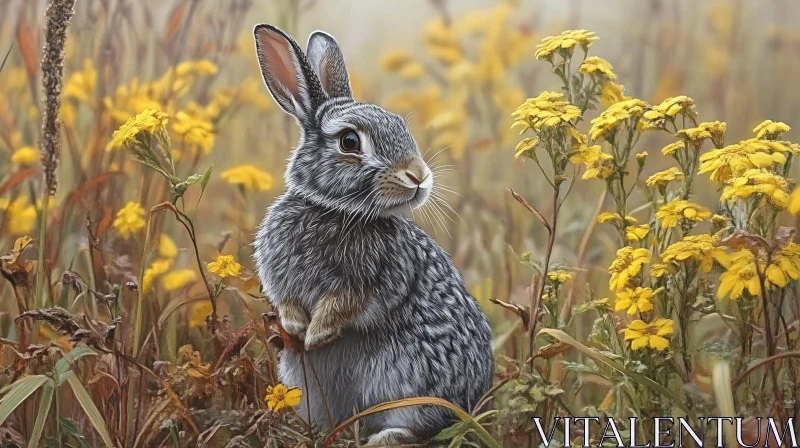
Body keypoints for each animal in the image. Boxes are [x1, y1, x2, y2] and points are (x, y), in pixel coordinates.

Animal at [252, 23, 494, 444]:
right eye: (350, 142)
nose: (418, 176)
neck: (335, 211)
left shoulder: (372, 284)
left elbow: (344, 306)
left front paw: (316, 335)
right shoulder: (279, 280)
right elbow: (287, 302)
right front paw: (297, 327)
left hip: (411, 383)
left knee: (423, 425)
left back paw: (383, 438)